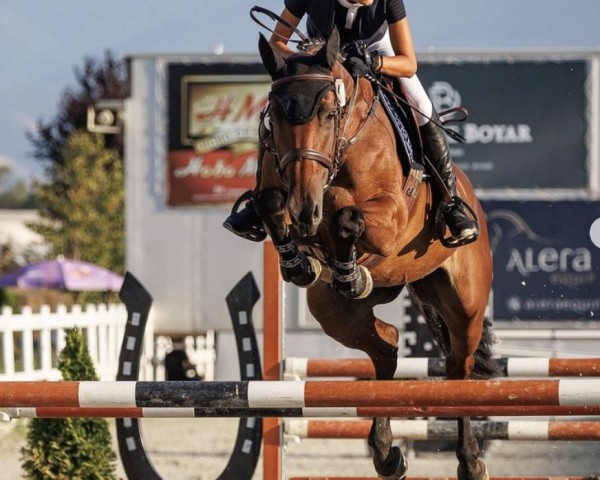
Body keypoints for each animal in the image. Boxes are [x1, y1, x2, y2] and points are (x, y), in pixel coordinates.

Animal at [251, 31, 500, 480]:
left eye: (329, 113)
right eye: (273, 117)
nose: (305, 208)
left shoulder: (390, 218)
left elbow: (347, 219)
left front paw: (343, 265)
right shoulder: (283, 191)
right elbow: (269, 202)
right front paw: (302, 263)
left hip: (466, 305)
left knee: (458, 367)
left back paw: (471, 461)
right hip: (335, 311)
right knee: (387, 346)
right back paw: (386, 454)